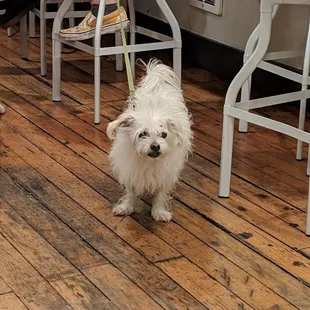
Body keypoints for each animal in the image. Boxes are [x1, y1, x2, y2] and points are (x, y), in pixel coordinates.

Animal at [108, 59, 193, 222]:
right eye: (143, 134)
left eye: (163, 135)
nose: (155, 146)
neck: (149, 161)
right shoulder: (130, 169)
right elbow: (130, 190)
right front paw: (127, 206)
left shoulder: (166, 173)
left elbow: (161, 193)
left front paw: (159, 211)